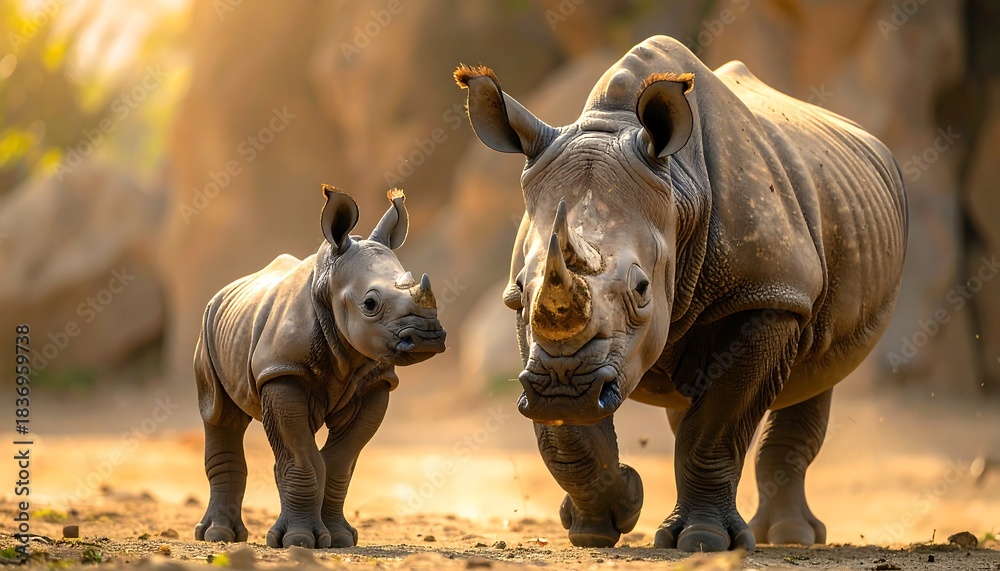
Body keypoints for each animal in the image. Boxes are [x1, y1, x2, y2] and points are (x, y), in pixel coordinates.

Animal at [193, 186, 446, 548]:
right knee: (218, 414)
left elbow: (338, 462)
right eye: (370, 304)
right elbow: (303, 460)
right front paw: (299, 541)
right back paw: (217, 536)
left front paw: (340, 539)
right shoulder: (282, 371)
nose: (428, 337)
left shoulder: (376, 383)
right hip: (209, 326)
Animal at [456, 35, 907, 552]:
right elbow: (567, 436)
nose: (563, 390)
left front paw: (704, 541)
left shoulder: (768, 293)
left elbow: (716, 426)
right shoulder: (532, 321)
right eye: (518, 288)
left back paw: (790, 537)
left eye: (641, 289)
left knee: (816, 372)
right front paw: (601, 519)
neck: (681, 192)